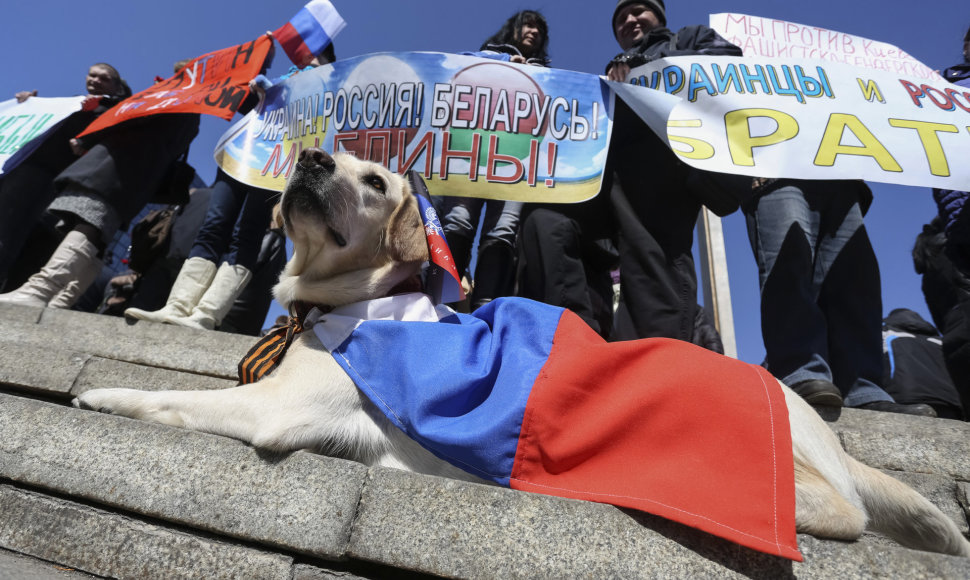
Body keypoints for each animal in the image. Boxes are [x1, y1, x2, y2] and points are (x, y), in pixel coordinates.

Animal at [75, 148, 968, 556]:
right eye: (341, 154)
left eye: (377, 182)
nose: (312, 156)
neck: (344, 303)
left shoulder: (277, 406)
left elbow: (171, 397)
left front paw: (100, 397)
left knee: (841, 511)